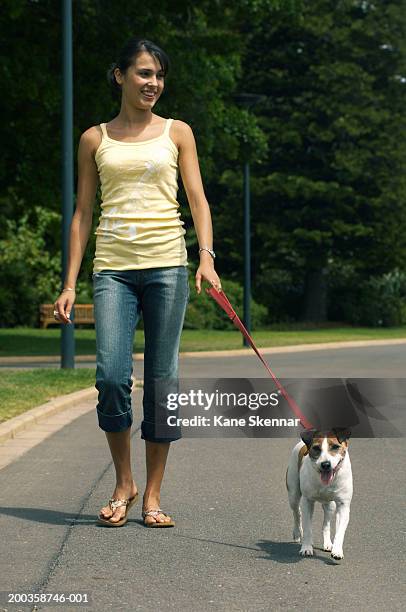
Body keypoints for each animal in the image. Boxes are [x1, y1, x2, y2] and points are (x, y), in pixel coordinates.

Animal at [286, 428, 352, 560]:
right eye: (316, 448)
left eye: (335, 446)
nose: (325, 464)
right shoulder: (307, 501)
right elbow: (307, 528)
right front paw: (306, 548)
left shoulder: (343, 505)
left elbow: (340, 531)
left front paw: (337, 550)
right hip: (293, 494)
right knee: (297, 513)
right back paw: (297, 533)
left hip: (330, 505)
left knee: (326, 524)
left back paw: (328, 544)